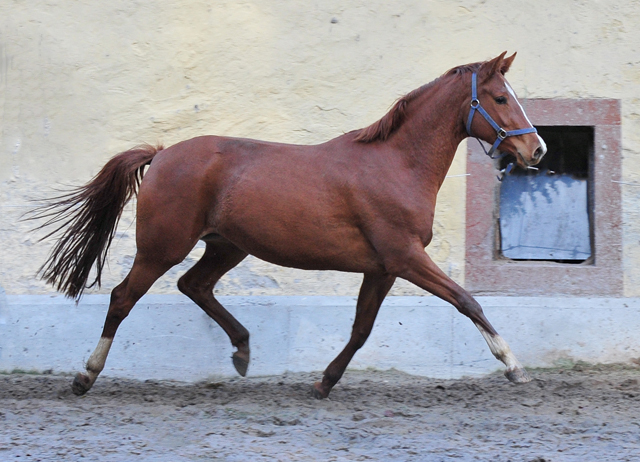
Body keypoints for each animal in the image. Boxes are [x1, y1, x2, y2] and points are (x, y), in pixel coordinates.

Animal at [31, 53, 544, 398]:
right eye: (500, 97)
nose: (535, 149)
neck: (396, 164)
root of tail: (161, 154)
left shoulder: (382, 267)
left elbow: (362, 329)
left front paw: (323, 383)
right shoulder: (405, 257)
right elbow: (466, 300)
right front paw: (514, 366)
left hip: (227, 246)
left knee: (194, 285)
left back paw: (242, 351)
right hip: (162, 246)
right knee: (123, 298)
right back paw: (85, 376)